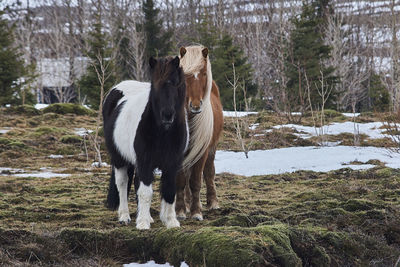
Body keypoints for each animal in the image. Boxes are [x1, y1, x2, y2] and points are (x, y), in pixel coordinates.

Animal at [104, 56, 189, 230]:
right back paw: (125, 216)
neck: (163, 132)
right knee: (122, 184)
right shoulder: (145, 161)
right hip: (119, 159)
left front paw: (171, 221)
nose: (167, 115)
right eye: (154, 85)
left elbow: (169, 191)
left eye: (175, 83)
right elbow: (145, 192)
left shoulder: (172, 164)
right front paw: (142, 223)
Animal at [176, 45, 223, 221]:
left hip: (211, 149)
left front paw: (196, 212)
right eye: (184, 74)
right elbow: (181, 181)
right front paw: (181, 211)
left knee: (209, 173)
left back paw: (212, 203)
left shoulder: (202, 151)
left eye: (203, 73)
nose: (195, 106)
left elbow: (196, 181)